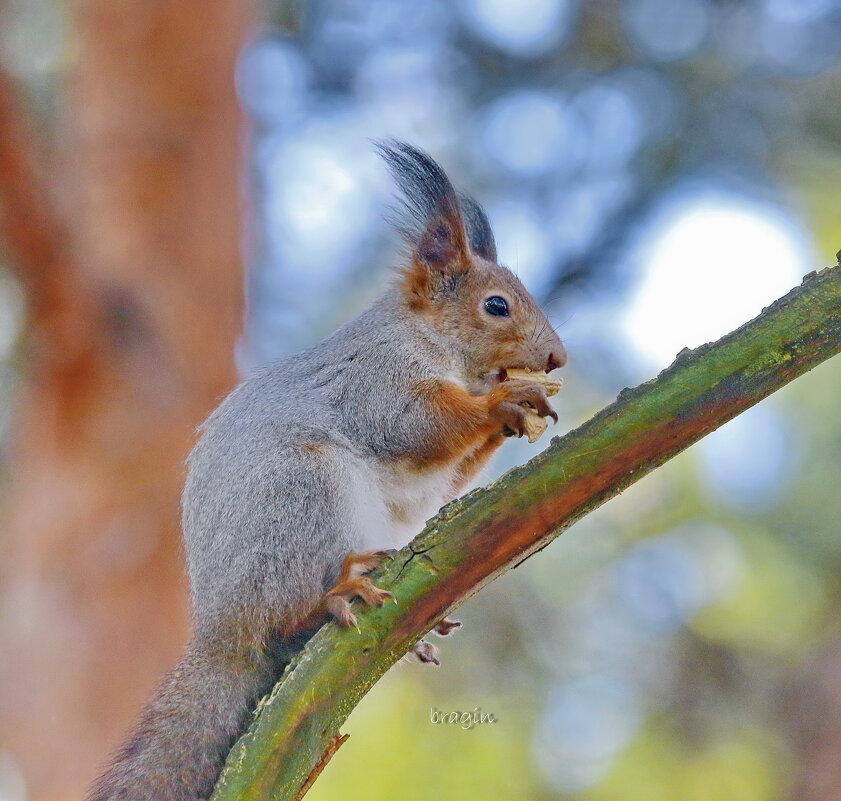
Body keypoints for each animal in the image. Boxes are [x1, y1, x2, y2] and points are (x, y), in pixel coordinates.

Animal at [88, 142, 564, 800]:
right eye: (496, 306)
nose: (557, 359)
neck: (426, 337)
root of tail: (220, 627)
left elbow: (439, 480)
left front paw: (516, 413)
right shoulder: (374, 379)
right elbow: (413, 424)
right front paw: (504, 402)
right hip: (301, 491)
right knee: (282, 620)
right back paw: (332, 597)